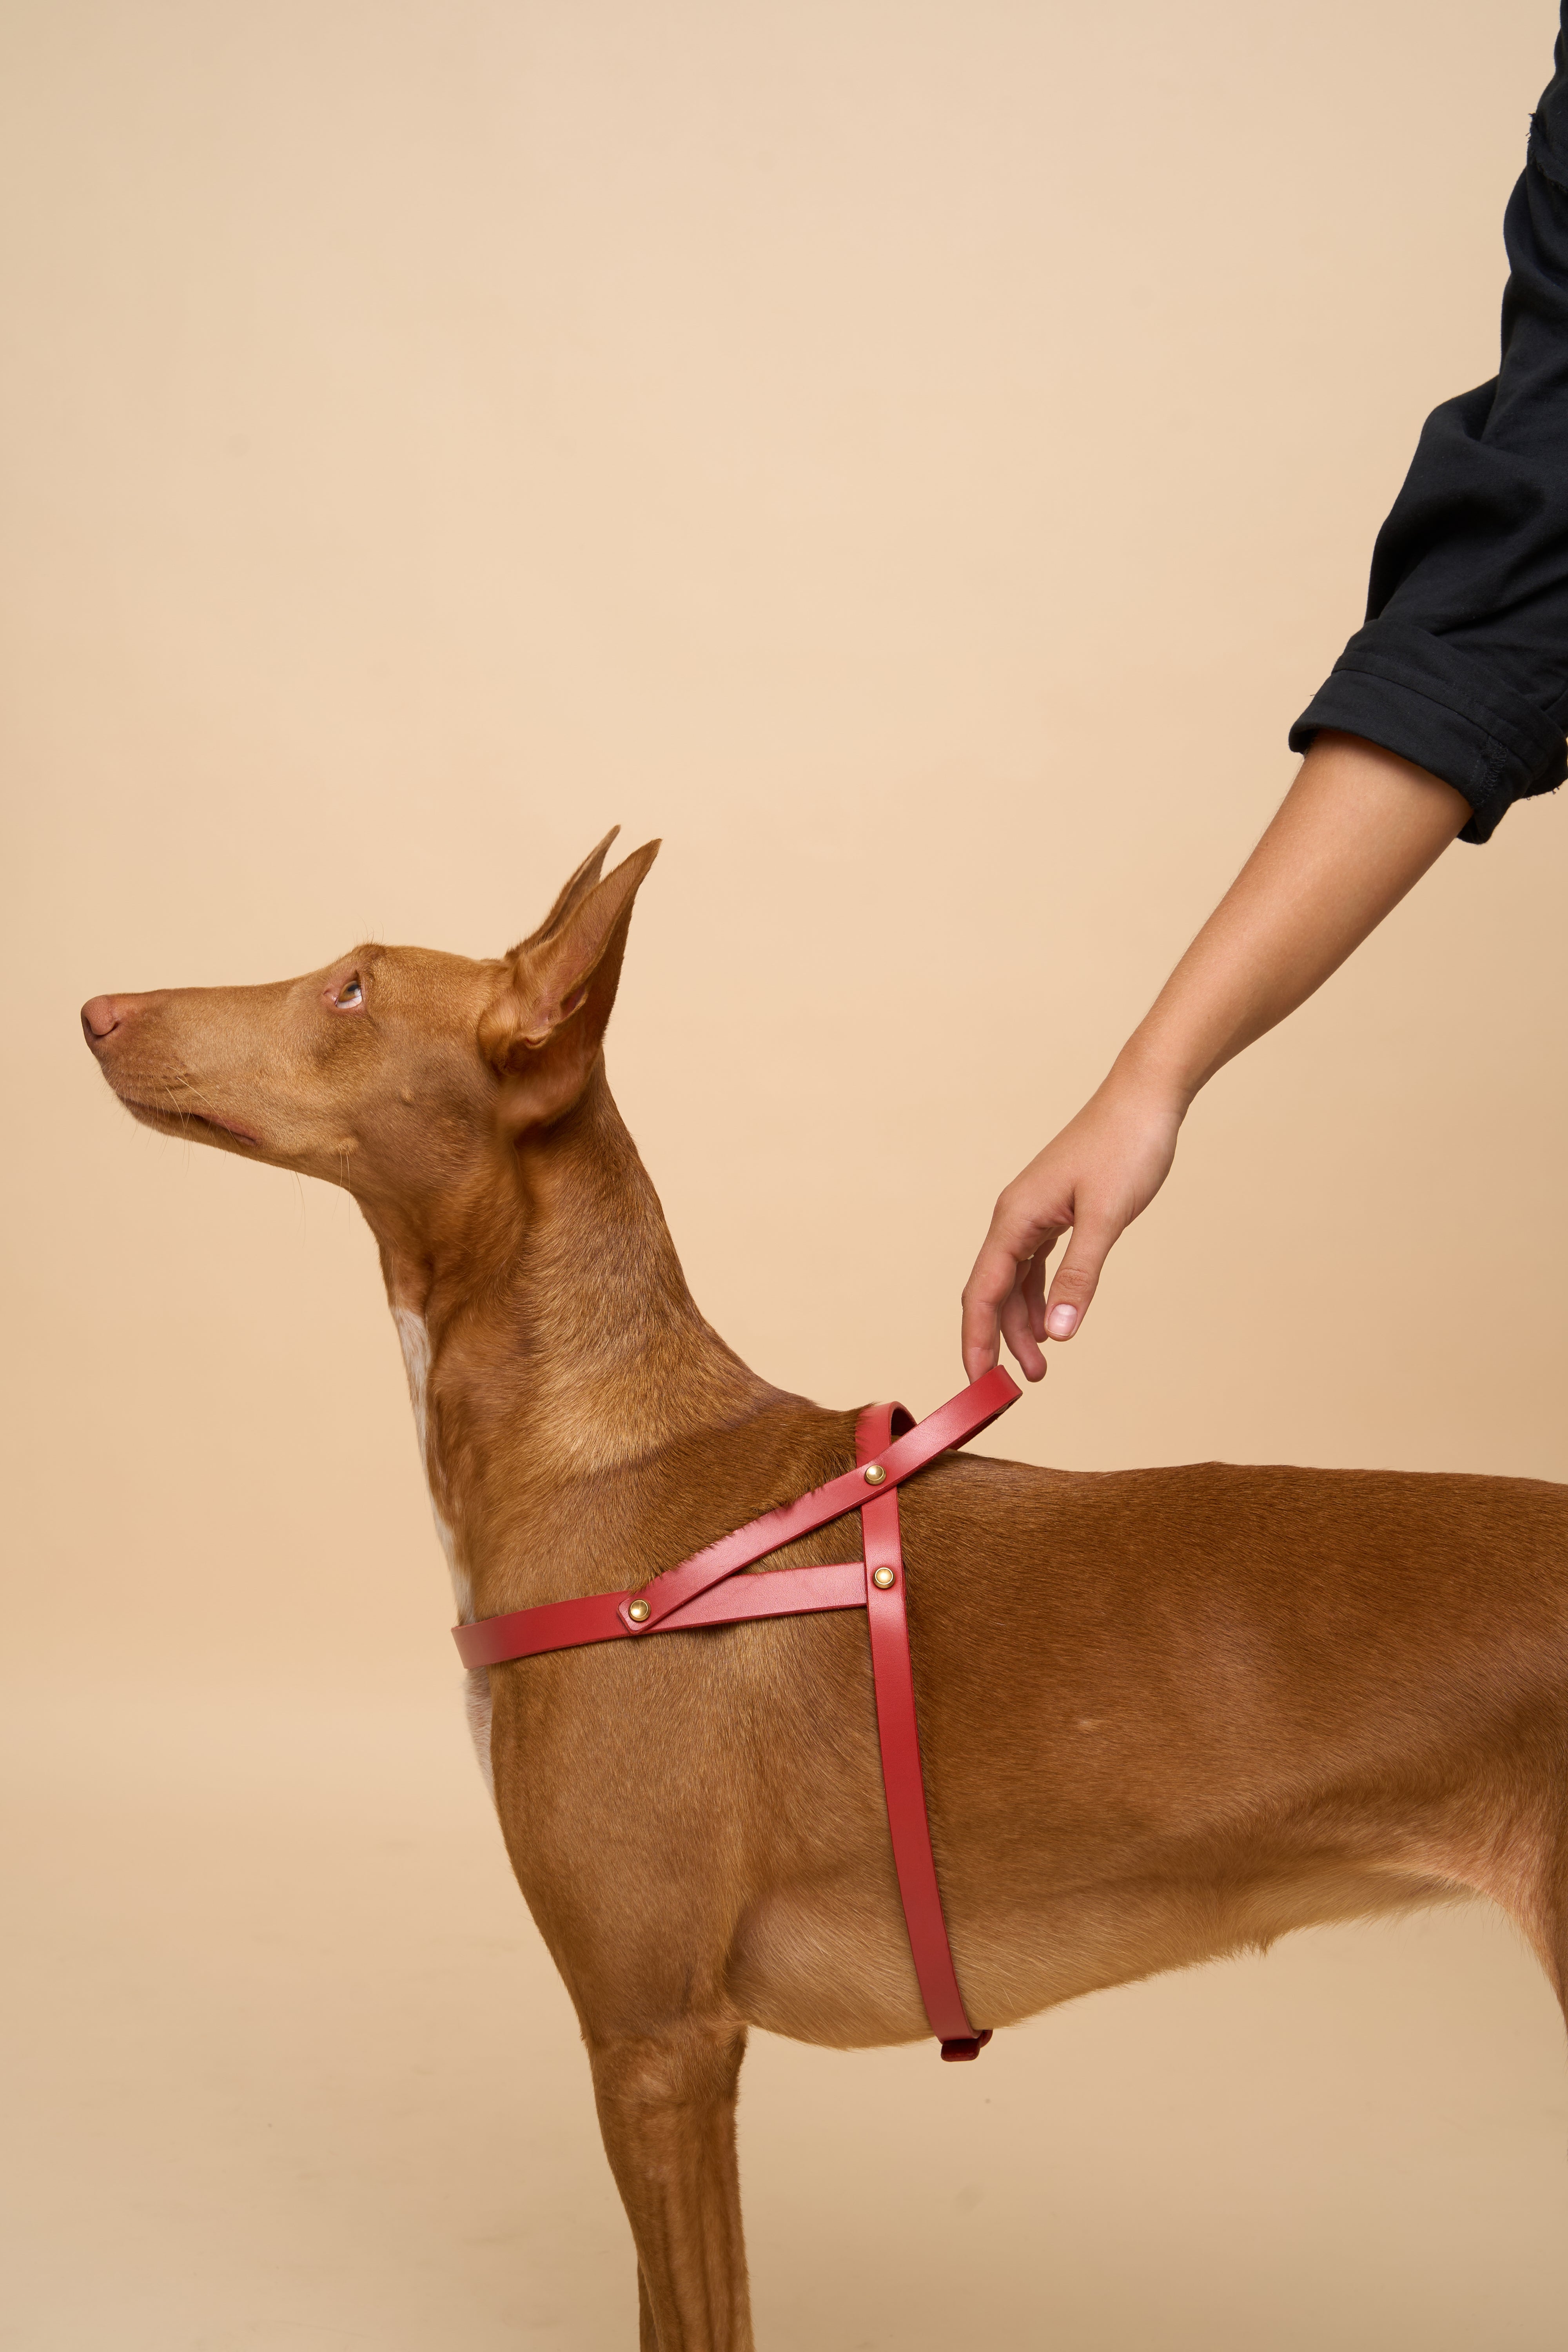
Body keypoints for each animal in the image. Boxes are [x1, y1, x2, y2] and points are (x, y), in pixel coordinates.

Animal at [83, 837, 1568, 2343]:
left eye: (352, 989)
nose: (97, 1010)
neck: (596, 1446)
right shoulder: (659, 2045)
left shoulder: (659, 2041)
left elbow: (704, 2319)